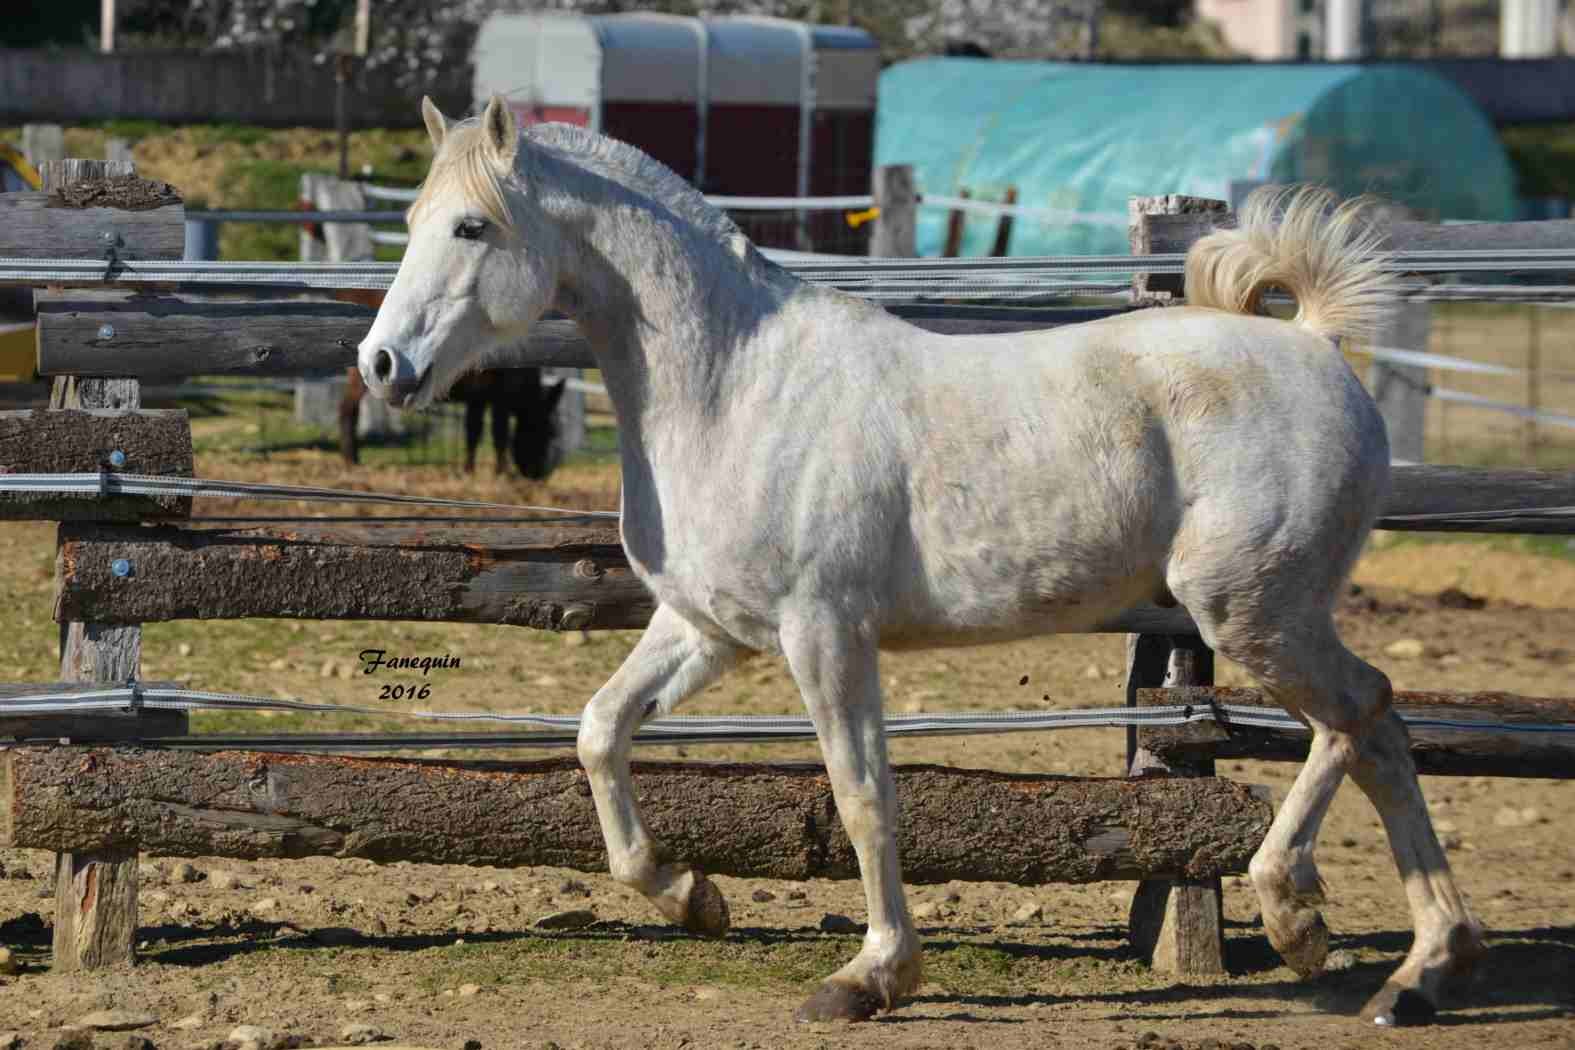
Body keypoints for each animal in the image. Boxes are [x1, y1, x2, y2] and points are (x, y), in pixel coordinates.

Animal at [360, 98, 1486, 1026]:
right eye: (411, 221)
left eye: (471, 227)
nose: (382, 366)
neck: (734, 387)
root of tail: (1317, 347)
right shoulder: (709, 631)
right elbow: (599, 733)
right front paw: (693, 897)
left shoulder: (825, 634)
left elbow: (862, 795)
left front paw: (870, 977)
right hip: (1269, 615)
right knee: (1378, 735)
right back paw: (1412, 973)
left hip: (1250, 610)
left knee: (1361, 714)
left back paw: (1309, 922)